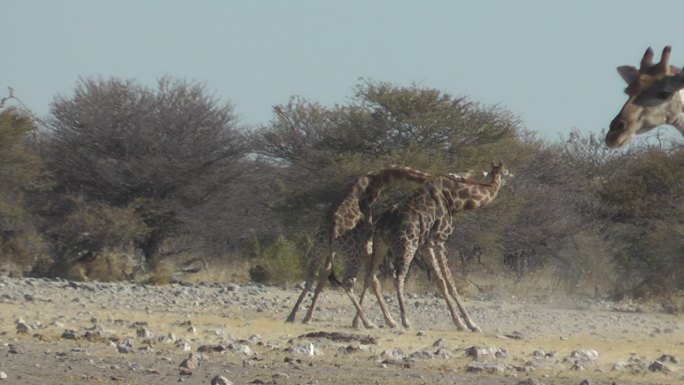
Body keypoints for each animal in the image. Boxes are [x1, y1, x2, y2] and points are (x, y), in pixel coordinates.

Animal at [286, 165, 430, 328]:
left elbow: (324, 274)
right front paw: (390, 321)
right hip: (352, 254)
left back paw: (291, 316)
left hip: (320, 248)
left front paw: (307, 317)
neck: (371, 185)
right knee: (347, 283)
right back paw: (368, 322)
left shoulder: (334, 251)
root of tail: (332, 230)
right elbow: (373, 280)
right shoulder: (367, 244)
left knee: (311, 277)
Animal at [356, 161, 510, 330]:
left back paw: (366, 321)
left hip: (381, 244)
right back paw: (405, 321)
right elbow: (449, 281)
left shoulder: (425, 245)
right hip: (407, 244)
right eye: (506, 171)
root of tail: (382, 222)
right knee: (398, 276)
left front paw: (459, 322)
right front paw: (471, 324)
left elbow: (440, 280)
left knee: (370, 276)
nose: (510, 176)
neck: (455, 200)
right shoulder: (439, 240)